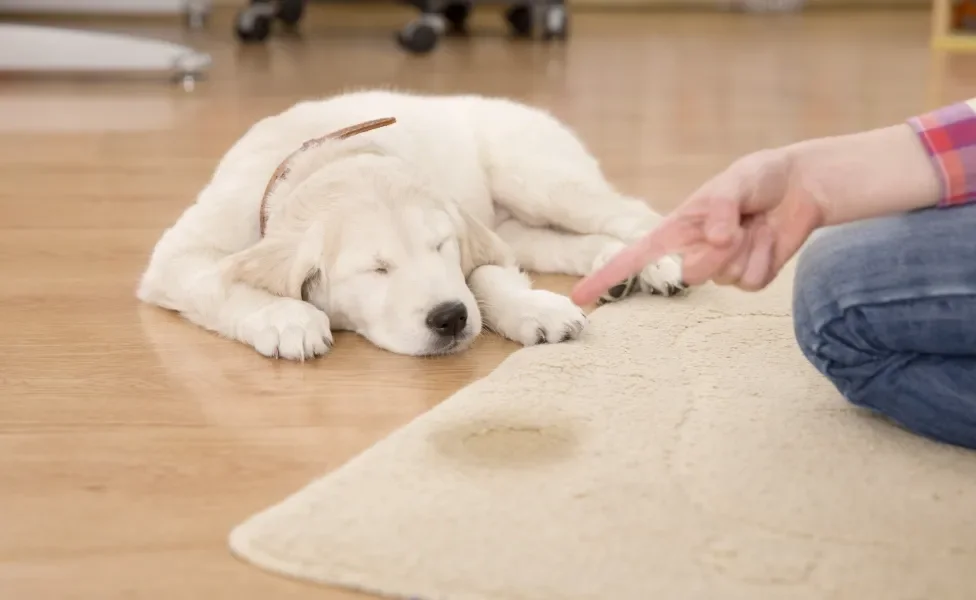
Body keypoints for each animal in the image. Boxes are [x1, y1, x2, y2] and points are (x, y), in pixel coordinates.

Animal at [137, 91, 688, 358]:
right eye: (377, 270)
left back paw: (659, 263)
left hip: (538, 178)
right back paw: (614, 268)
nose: (450, 319)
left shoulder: (474, 238)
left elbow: (485, 277)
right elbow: (222, 284)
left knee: (631, 212)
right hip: (518, 221)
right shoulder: (178, 257)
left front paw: (533, 309)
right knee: (558, 242)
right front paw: (287, 318)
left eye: (440, 247)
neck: (322, 158)